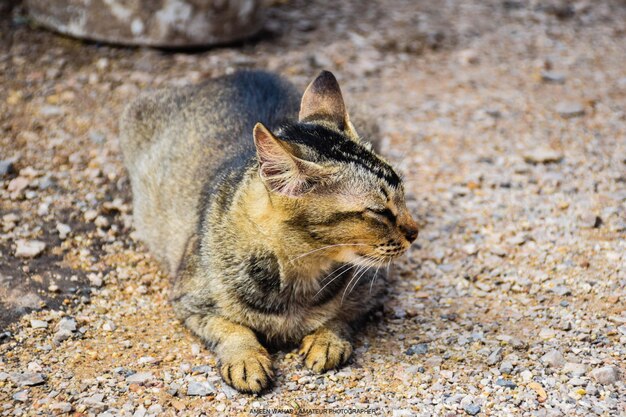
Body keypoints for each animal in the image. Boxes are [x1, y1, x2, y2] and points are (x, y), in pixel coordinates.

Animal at [119, 70, 416, 392]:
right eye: (378, 211)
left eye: (402, 194)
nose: (415, 232)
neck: (300, 273)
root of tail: (240, 72)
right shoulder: (189, 301)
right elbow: (231, 328)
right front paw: (246, 358)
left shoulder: (373, 289)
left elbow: (341, 316)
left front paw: (327, 341)